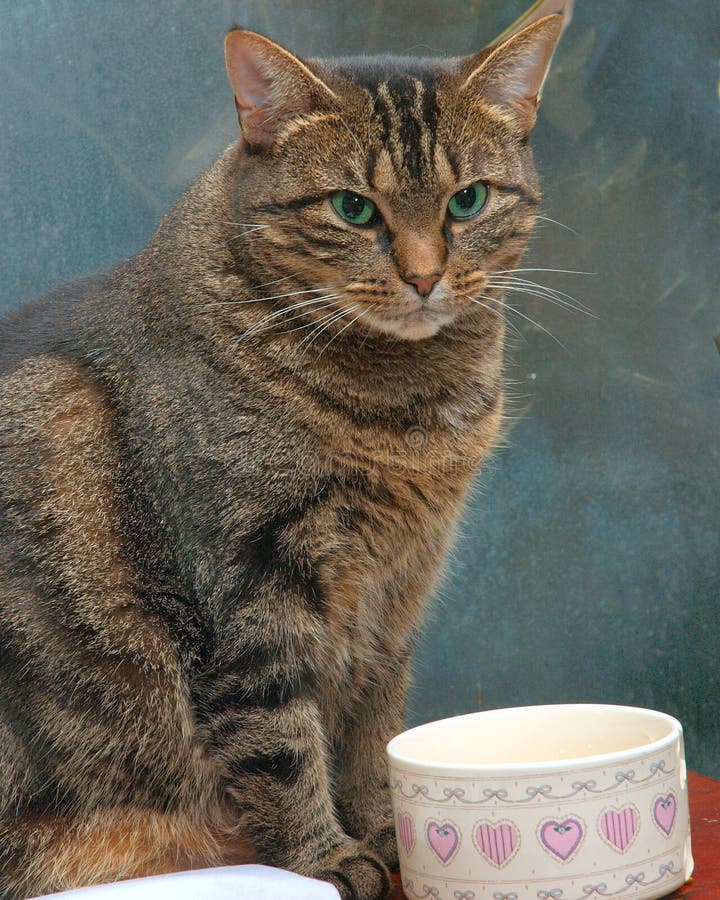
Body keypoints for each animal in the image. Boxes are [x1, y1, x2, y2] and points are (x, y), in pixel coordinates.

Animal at [1, 8, 568, 900]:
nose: (425, 276)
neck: (403, 418)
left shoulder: (394, 597)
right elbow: (280, 744)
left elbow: (374, 730)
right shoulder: (253, 588)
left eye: (468, 201)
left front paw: (393, 831)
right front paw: (324, 859)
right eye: (353, 209)